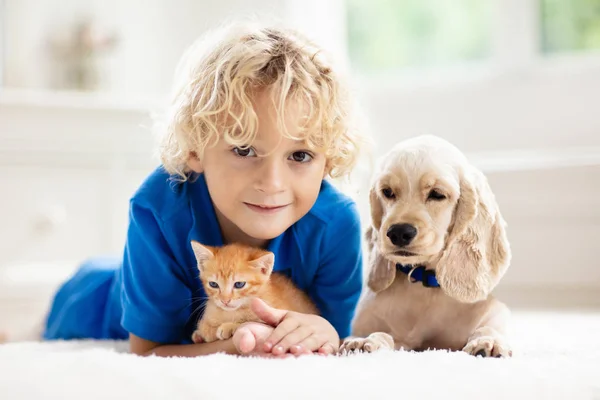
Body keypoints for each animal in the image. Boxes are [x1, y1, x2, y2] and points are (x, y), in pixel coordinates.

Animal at [342, 134, 510, 356]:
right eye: (387, 192)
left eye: (437, 194)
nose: (398, 232)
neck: (423, 283)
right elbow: (381, 334)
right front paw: (365, 341)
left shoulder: (494, 312)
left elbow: (489, 326)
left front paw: (489, 342)